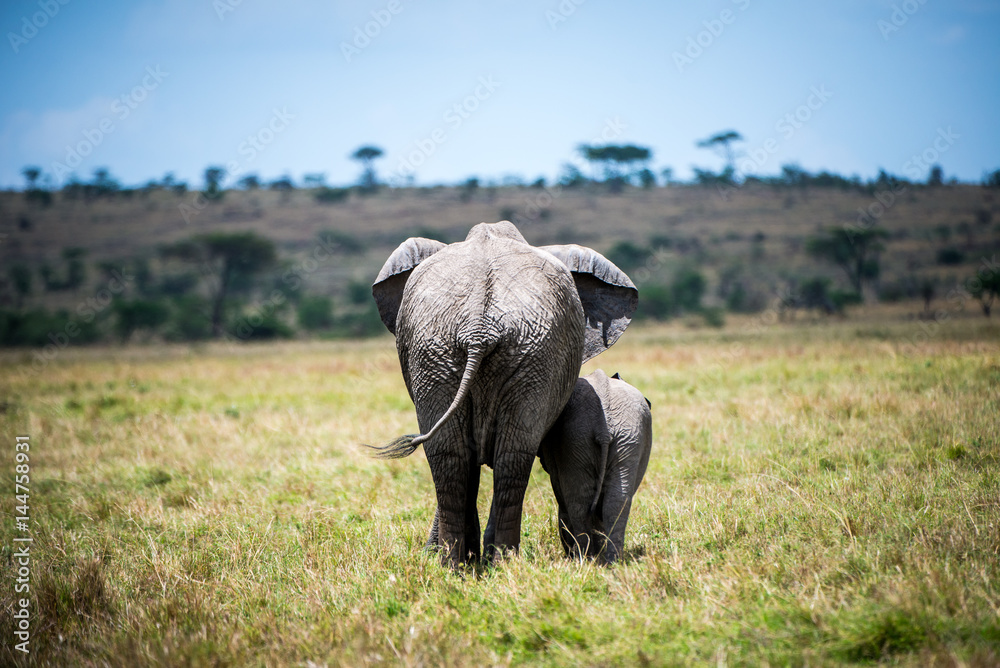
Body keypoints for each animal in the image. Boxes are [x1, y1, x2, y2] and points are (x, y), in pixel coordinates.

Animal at [368, 220, 638, 567]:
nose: (426, 551)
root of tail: (478, 325)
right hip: (459, 350)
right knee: (490, 459)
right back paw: (483, 564)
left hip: (471, 351)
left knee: (470, 459)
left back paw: (463, 566)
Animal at [538, 370, 652, 564]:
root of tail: (603, 427)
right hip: (624, 435)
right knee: (613, 502)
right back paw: (609, 561)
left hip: (584, 437)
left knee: (578, 503)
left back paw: (586, 560)